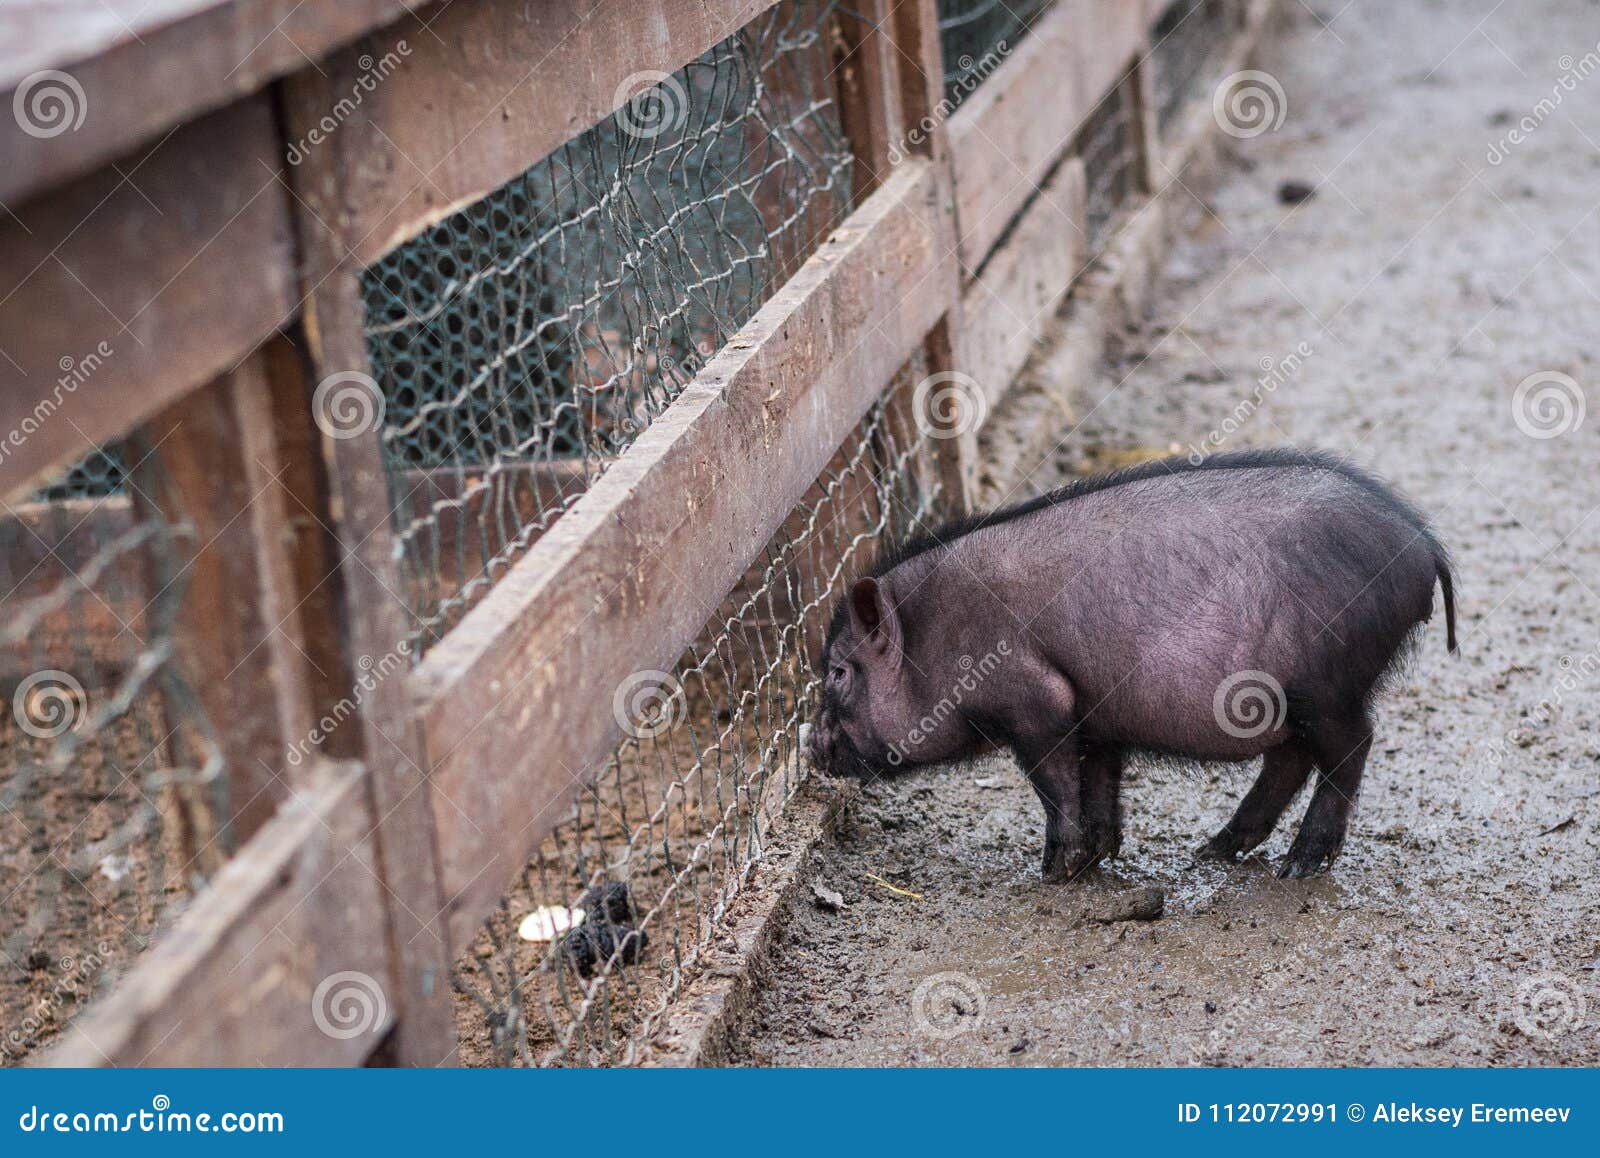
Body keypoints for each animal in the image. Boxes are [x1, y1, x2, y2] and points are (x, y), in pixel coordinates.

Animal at [805, 448, 1457, 880]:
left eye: (837, 673)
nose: (809, 746)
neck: (935, 635)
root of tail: (1422, 543)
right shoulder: (1095, 711)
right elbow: (1099, 779)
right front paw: (1098, 856)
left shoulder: (1038, 699)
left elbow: (1054, 782)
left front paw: (1053, 871)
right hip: (1294, 695)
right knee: (1291, 758)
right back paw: (1213, 850)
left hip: (1326, 680)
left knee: (1352, 744)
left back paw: (1298, 866)